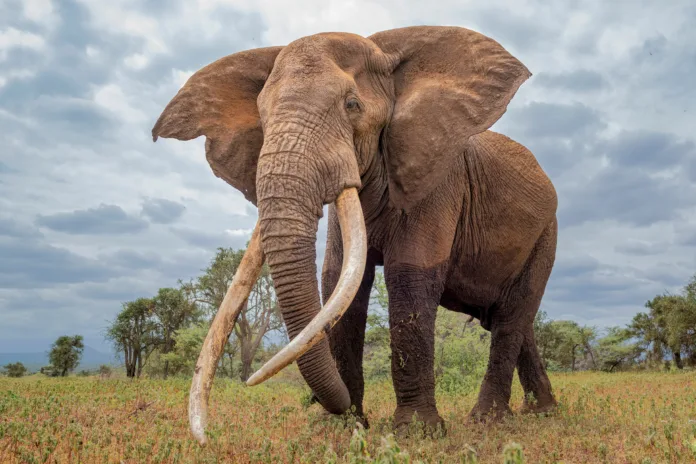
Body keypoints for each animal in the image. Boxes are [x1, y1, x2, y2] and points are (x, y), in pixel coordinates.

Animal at [154, 24, 560, 442]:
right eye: (262, 117)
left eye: (352, 105)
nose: (206, 436)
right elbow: (340, 279)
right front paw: (343, 426)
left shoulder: (438, 181)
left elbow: (408, 277)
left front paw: (416, 433)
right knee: (509, 320)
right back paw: (542, 412)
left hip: (546, 234)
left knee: (512, 317)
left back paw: (488, 421)